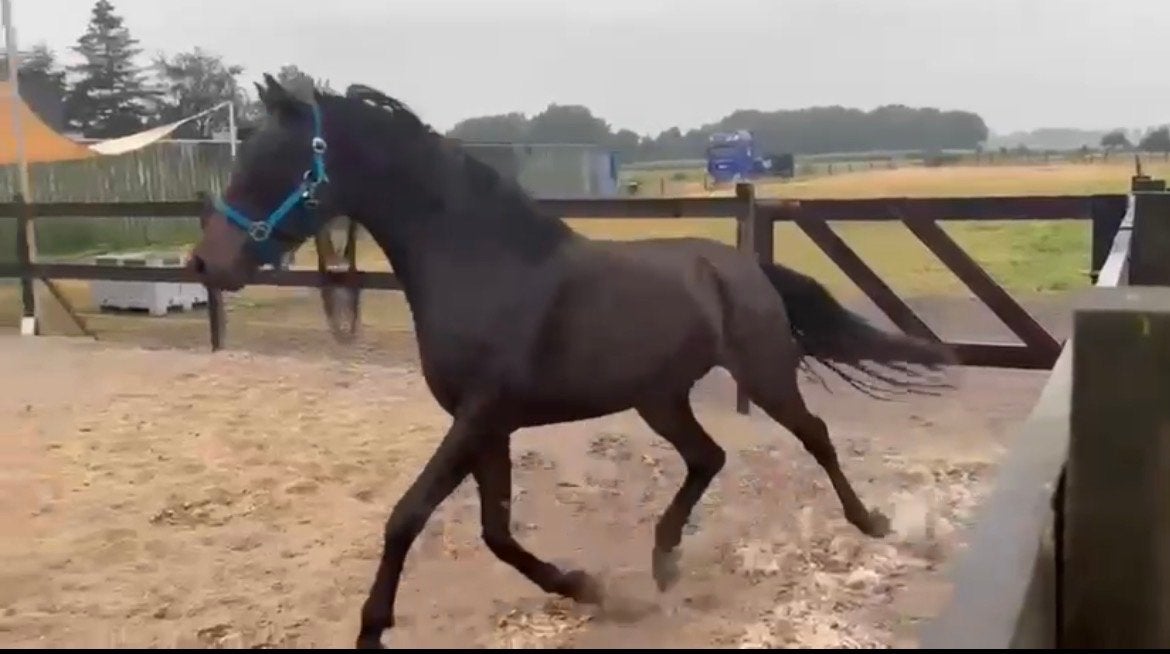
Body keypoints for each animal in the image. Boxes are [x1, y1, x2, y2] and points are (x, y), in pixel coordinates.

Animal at [188, 74, 956, 649]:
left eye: (271, 163)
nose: (203, 265)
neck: (484, 264)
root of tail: (742, 266)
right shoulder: (487, 426)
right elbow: (495, 532)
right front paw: (590, 589)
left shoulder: (479, 416)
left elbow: (407, 517)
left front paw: (372, 629)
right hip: (660, 398)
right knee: (707, 458)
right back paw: (663, 564)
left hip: (763, 374)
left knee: (814, 437)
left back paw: (873, 524)